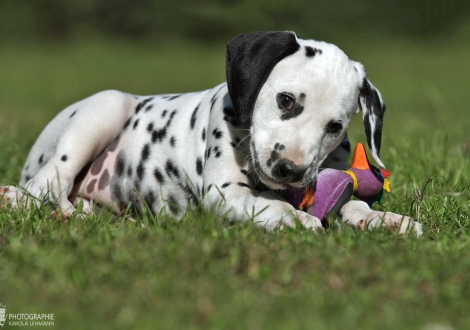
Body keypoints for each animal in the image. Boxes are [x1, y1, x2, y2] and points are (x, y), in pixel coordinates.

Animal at [0, 32, 424, 235]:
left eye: (334, 127)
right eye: (286, 101)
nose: (290, 170)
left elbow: (351, 205)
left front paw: (385, 220)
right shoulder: (227, 193)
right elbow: (274, 205)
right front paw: (299, 220)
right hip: (103, 110)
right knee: (47, 186)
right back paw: (62, 212)